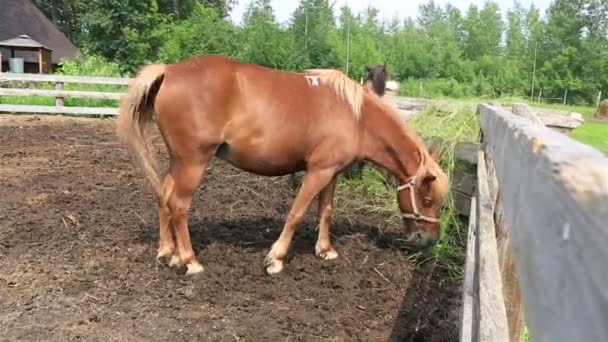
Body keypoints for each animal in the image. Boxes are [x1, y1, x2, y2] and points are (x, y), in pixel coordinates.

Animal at [116, 54, 448, 276]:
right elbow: (297, 212)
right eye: (428, 200)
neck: (357, 117)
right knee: (179, 205)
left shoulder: (332, 173)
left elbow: (326, 211)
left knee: (164, 197)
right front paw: (275, 259)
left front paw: (325, 250)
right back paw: (189, 260)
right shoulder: (317, 172)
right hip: (193, 162)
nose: (429, 240)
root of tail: (169, 71)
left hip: (179, 161)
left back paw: (167, 252)